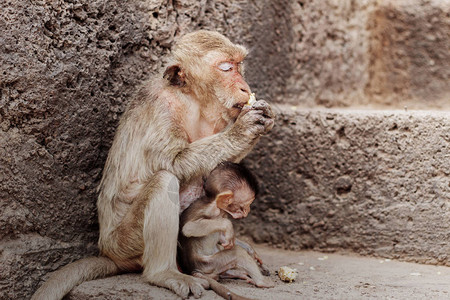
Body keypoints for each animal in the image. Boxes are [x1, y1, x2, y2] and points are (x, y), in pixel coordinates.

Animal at [179, 162, 274, 298]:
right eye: (245, 205)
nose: (248, 211)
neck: (215, 204)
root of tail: (193, 270)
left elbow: (224, 239)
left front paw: (251, 250)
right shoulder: (211, 210)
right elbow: (188, 228)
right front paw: (227, 225)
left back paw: (235, 274)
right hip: (208, 265)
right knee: (237, 253)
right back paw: (262, 282)